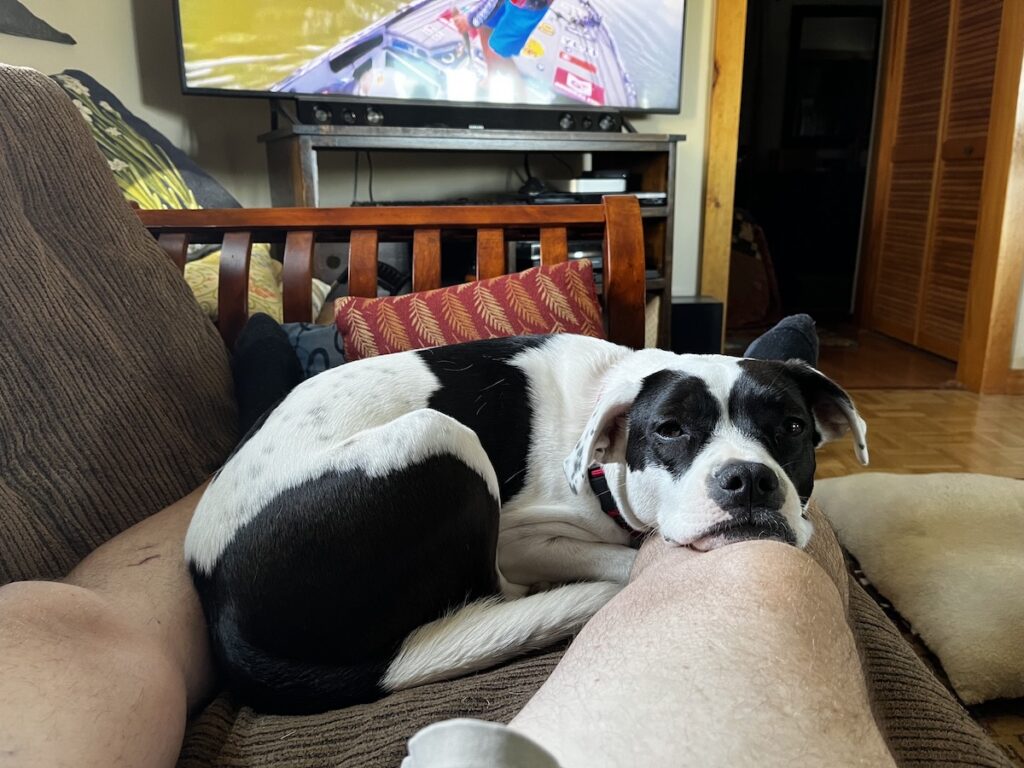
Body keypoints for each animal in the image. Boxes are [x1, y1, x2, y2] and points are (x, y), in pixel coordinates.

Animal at [184, 335, 864, 716]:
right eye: (670, 430)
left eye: (792, 428)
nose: (749, 480)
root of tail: (219, 608)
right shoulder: (522, 538)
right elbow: (621, 558)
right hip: (438, 433)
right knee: (495, 591)